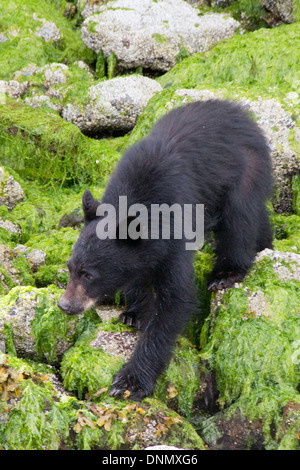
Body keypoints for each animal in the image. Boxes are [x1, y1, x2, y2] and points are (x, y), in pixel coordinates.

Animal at [57, 99, 274, 400]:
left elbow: (175, 300)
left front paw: (130, 381)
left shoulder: (175, 233)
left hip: (244, 171)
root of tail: (240, 111)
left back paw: (226, 273)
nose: (65, 305)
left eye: (89, 274)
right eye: (70, 268)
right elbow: (138, 277)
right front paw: (135, 313)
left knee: (239, 221)